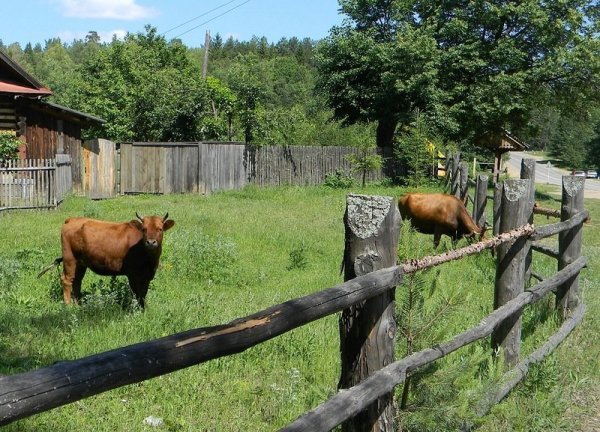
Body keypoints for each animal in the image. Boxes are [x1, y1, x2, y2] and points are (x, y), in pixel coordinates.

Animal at [39, 213, 175, 308]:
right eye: (144, 229)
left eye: (160, 229)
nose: (151, 242)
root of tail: (72, 219)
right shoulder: (132, 274)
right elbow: (136, 293)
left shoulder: (147, 276)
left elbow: (143, 293)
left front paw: (143, 309)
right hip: (69, 259)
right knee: (67, 280)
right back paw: (68, 306)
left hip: (81, 263)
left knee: (77, 281)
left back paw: (79, 305)